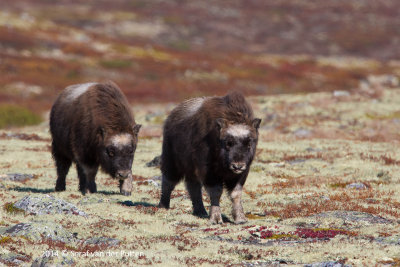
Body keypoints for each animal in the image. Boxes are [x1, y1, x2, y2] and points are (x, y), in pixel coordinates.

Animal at [159, 91, 262, 224]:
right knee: (168, 182)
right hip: (172, 161)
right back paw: (163, 206)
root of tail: (171, 116)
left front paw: (240, 219)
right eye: (228, 143)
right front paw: (216, 219)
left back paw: (200, 212)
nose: (237, 166)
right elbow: (216, 192)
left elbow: (236, 194)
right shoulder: (209, 171)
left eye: (249, 144)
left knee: (193, 187)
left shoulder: (241, 174)